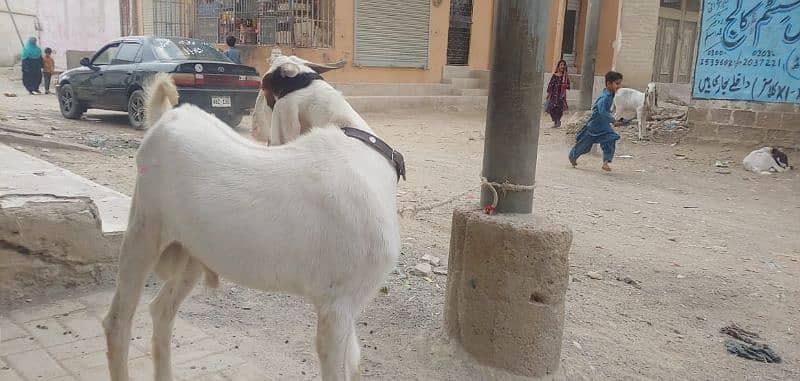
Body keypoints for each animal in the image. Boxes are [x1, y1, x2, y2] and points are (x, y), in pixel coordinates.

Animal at [101, 72, 404, 380]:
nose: (257, 127)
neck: (361, 146)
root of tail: (163, 118)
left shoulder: (348, 307)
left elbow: (354, 362)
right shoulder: (337, 304)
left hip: (193, 250)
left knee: (161, 310)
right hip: (144, 229)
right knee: (117, 322)